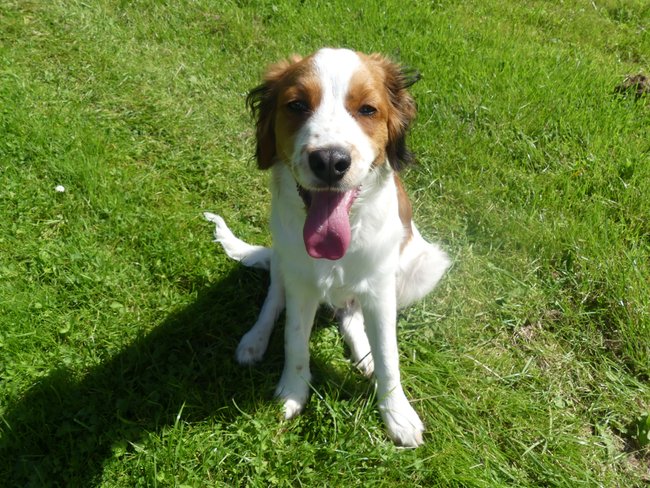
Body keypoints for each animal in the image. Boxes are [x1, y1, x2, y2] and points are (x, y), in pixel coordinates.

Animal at [205, 47, 448, 448]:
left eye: (367, 109)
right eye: (297, 105)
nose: (331, 161)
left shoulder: (380, 288)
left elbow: (389, 354)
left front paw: (397, 412)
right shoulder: (300, 282)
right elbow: (293, 339)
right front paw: (292, 392)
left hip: (422, 266)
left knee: (350, 314)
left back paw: (363, 352)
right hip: (283, 258)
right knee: (274, 301)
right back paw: (255, 340)